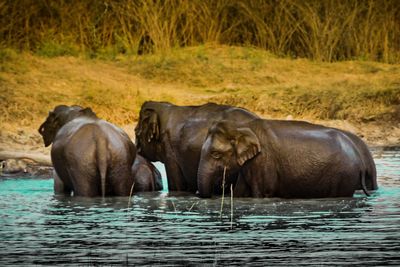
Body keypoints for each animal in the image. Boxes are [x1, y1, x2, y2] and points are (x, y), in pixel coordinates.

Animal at [198, 119, 376, 199]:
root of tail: (359, 157)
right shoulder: (250, 165)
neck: (240, 127)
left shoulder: (264, 162)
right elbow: (241, 192)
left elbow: (261, 194)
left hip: (344, 177)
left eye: (216, 154)